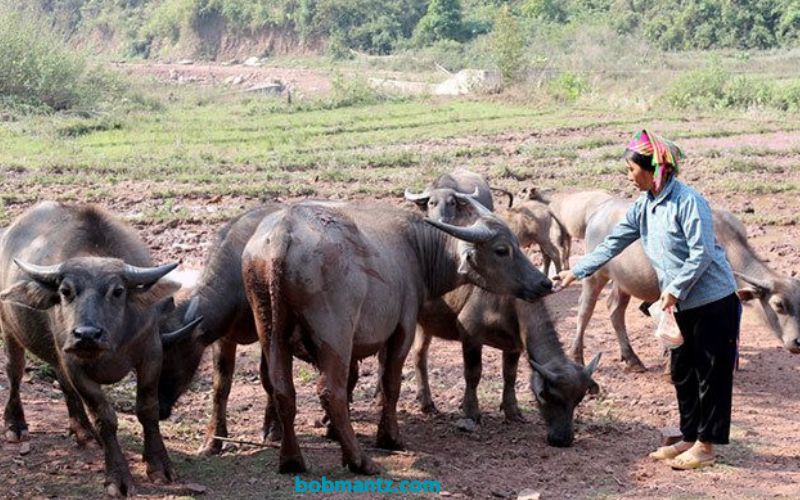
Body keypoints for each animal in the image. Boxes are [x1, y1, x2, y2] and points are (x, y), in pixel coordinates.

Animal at [0, 202, 189, 496]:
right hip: (10, 329)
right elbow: (105, 417)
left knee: (62, 382)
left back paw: (82, 431)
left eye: (118, 290)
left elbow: (147, 408)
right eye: (65, 291)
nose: (86, 335)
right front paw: (118, 478)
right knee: (15, 372)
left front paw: (159, 464)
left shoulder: (151, 352)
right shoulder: (75, 364)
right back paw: (16, 424)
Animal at [242, 197, 552, 474]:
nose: (544, 283)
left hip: (271, 330)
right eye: (502, 250)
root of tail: (282, 235)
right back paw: (360, 461)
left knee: (282, 389)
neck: (415, 249)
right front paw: (389, 438)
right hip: (335, 337)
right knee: (331, 391)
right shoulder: (402, 330)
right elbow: (391, 383)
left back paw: (292, 460)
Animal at [416, 292, 596, 448]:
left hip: (425, 325)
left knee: (419, 355)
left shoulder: (514, 345)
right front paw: (471, 412)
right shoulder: (470, 333)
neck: (511, 301)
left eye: (578, 400)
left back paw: (426, 403)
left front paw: (512, 411)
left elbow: (510, 376)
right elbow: (473, 374)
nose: (563, 440)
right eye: (545, 395)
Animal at [568, 197, 800, 370]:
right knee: (585, 309)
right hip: (595, 275)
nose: (798, 342)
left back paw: (632, 358)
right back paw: (577, 357)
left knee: (615, 309)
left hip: (624, 281)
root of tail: (598, 212)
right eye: (779, 305)